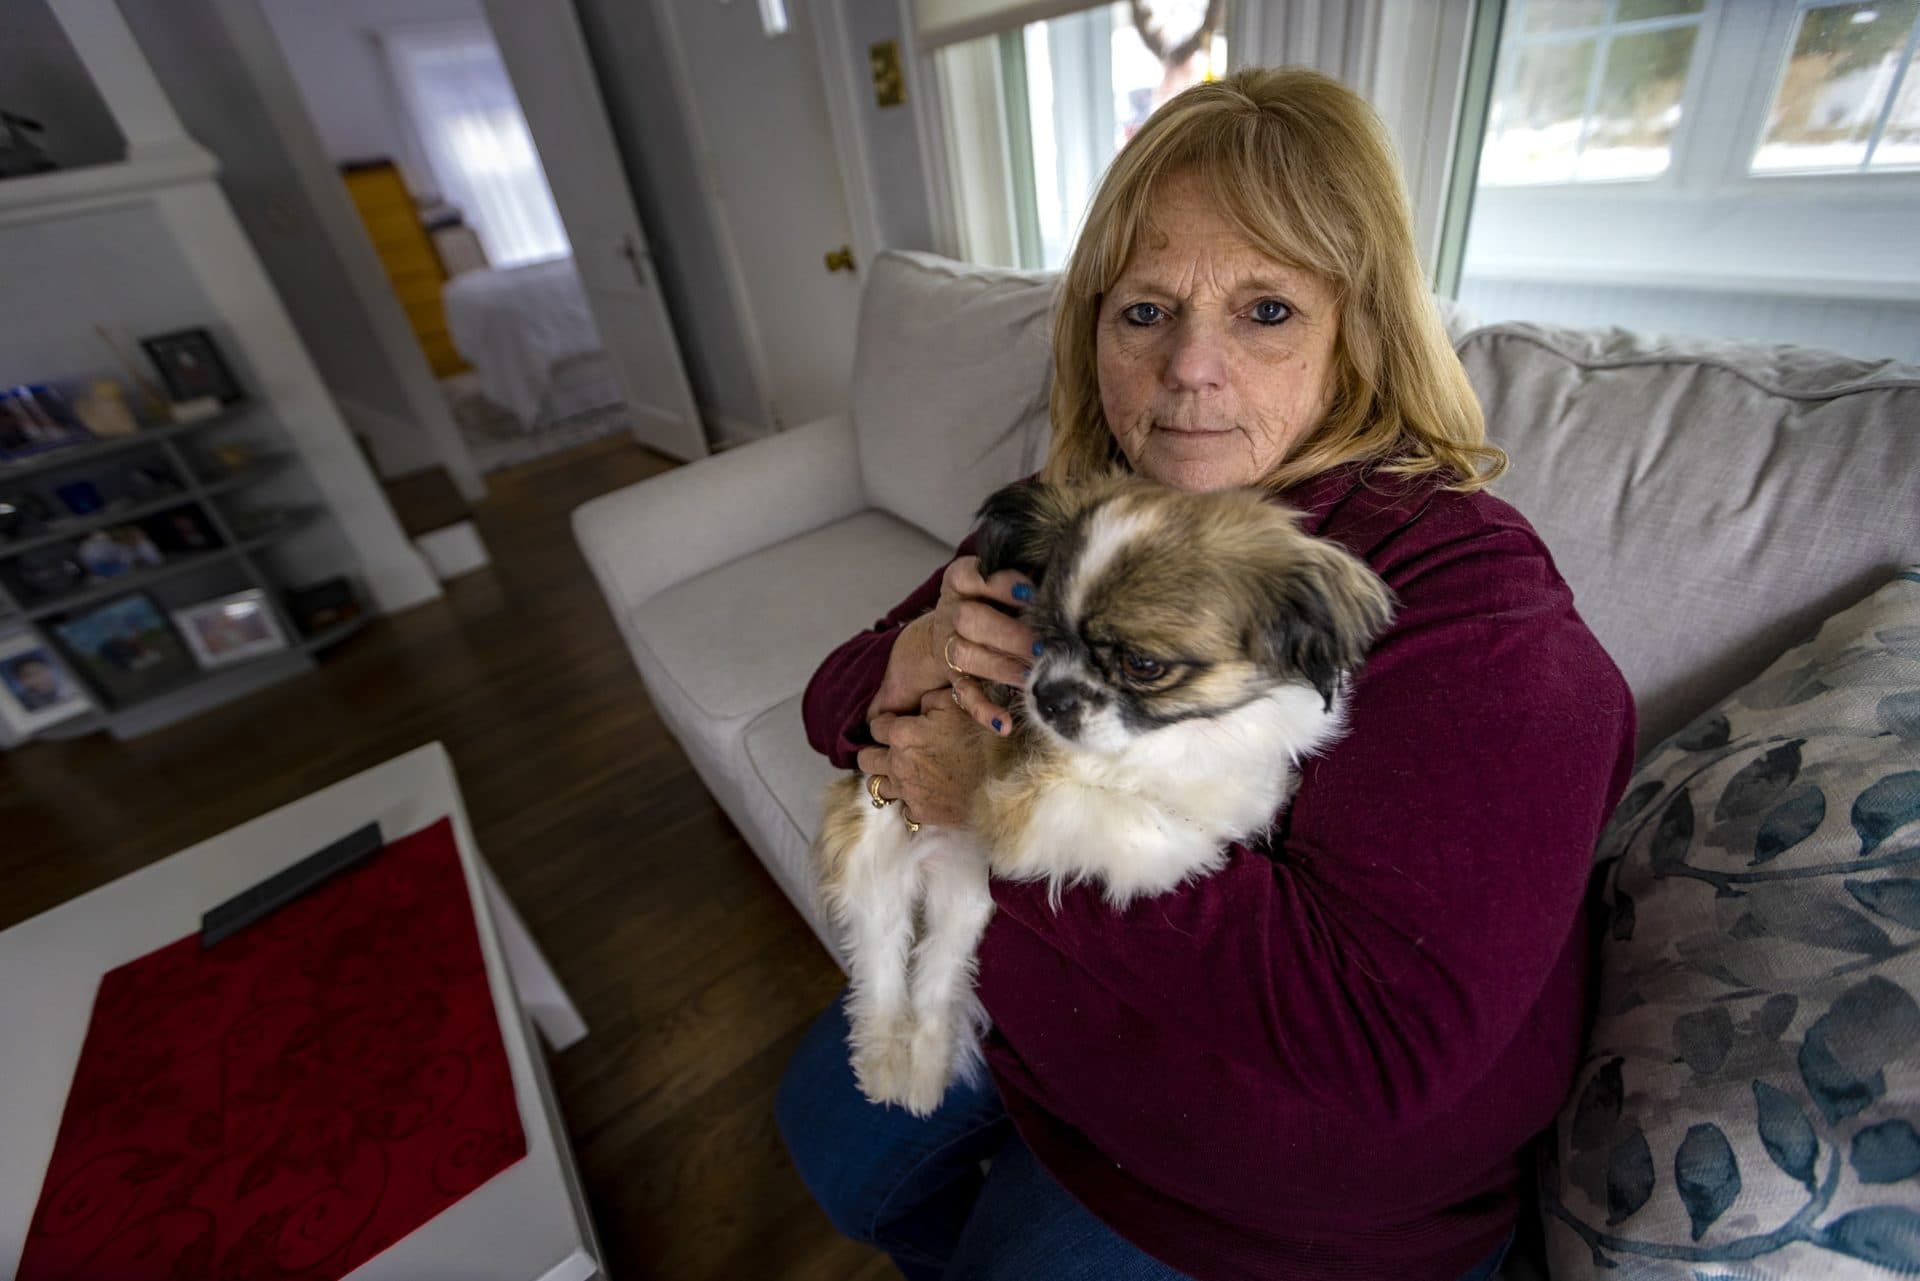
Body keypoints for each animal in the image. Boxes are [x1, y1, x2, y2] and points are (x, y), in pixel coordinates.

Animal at [814, 474, 1397, 1113]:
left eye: (1142, 664)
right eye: (1040, 637)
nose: (1048, 696)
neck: (1175, 736)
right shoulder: (1024, 802)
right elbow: (1143, 825)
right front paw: (1205, 848)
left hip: (965, 898)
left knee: (937, 973)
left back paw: (921, 1068)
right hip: (875, 863)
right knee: (882, 969)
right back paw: (882, 1066)